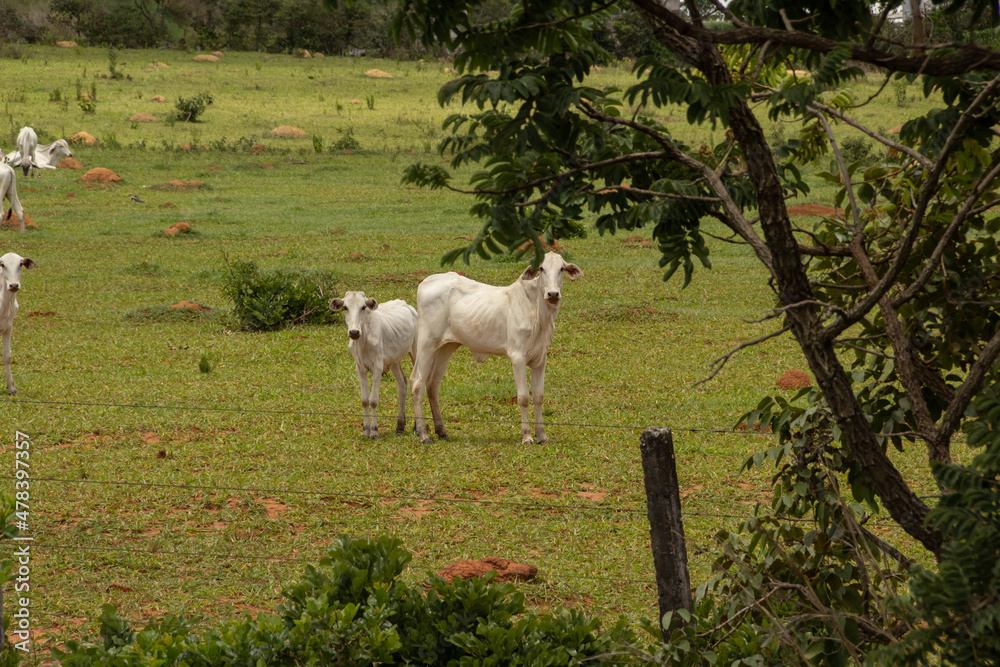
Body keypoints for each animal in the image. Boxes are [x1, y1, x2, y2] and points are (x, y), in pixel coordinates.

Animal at [0, 253, 37, 395]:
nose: (14, 285)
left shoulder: (8, 327)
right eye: (2, 264)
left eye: (20, 264)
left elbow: (7, 356)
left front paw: (11, 388)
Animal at [329, 292, 418, 439]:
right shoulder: (360, 368)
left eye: (363, 307)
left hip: (416, 352)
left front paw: (374, 431)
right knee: (402, 385)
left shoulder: (378, 368)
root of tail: (408, 305)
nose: (354, 332)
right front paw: (366, 430)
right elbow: (365, 400)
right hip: (394, 361)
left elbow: (373, 400)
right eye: (345, 307)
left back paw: (418, 426)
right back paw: (400, 426)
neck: (364, 342)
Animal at [411, 251, 583, 445]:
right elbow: (524, 398)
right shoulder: (517, 357)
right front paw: (527, 436)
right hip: (427, 344)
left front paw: (542, 435)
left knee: (432, 385)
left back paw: (441, 431)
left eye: (561, 268)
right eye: (541, 268)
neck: (537, 313)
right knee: (417, 384)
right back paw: (423, 434)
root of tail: (426, 281)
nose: (553, 293)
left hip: (445, 347)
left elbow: (538, 397)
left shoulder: (540, 359)